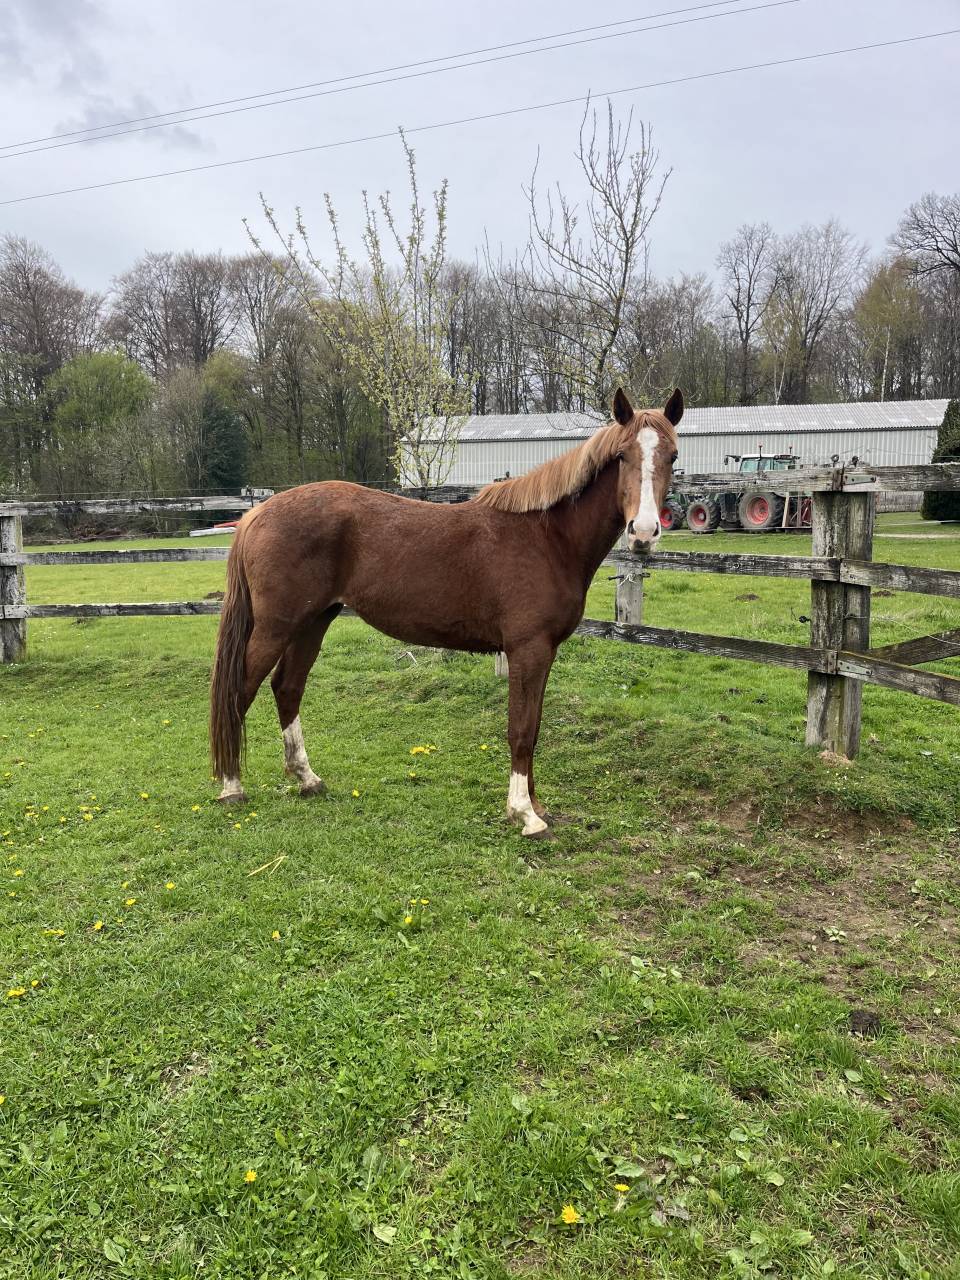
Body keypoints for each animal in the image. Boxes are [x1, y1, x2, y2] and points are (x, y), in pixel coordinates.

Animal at [209, 387, 682, 835]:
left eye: (672, 456)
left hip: (313, 622)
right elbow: (520, 730)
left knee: (287, 687)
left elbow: (535, 726)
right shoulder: (527, 649)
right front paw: (525, 814)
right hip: (276, 627)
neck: (548, 537)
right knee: (240, 690)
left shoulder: (544, 652)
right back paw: (232, 786)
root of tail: (257, 515)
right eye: (622, 456)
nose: (643, 532)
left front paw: (536, 805)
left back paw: (307, 778)